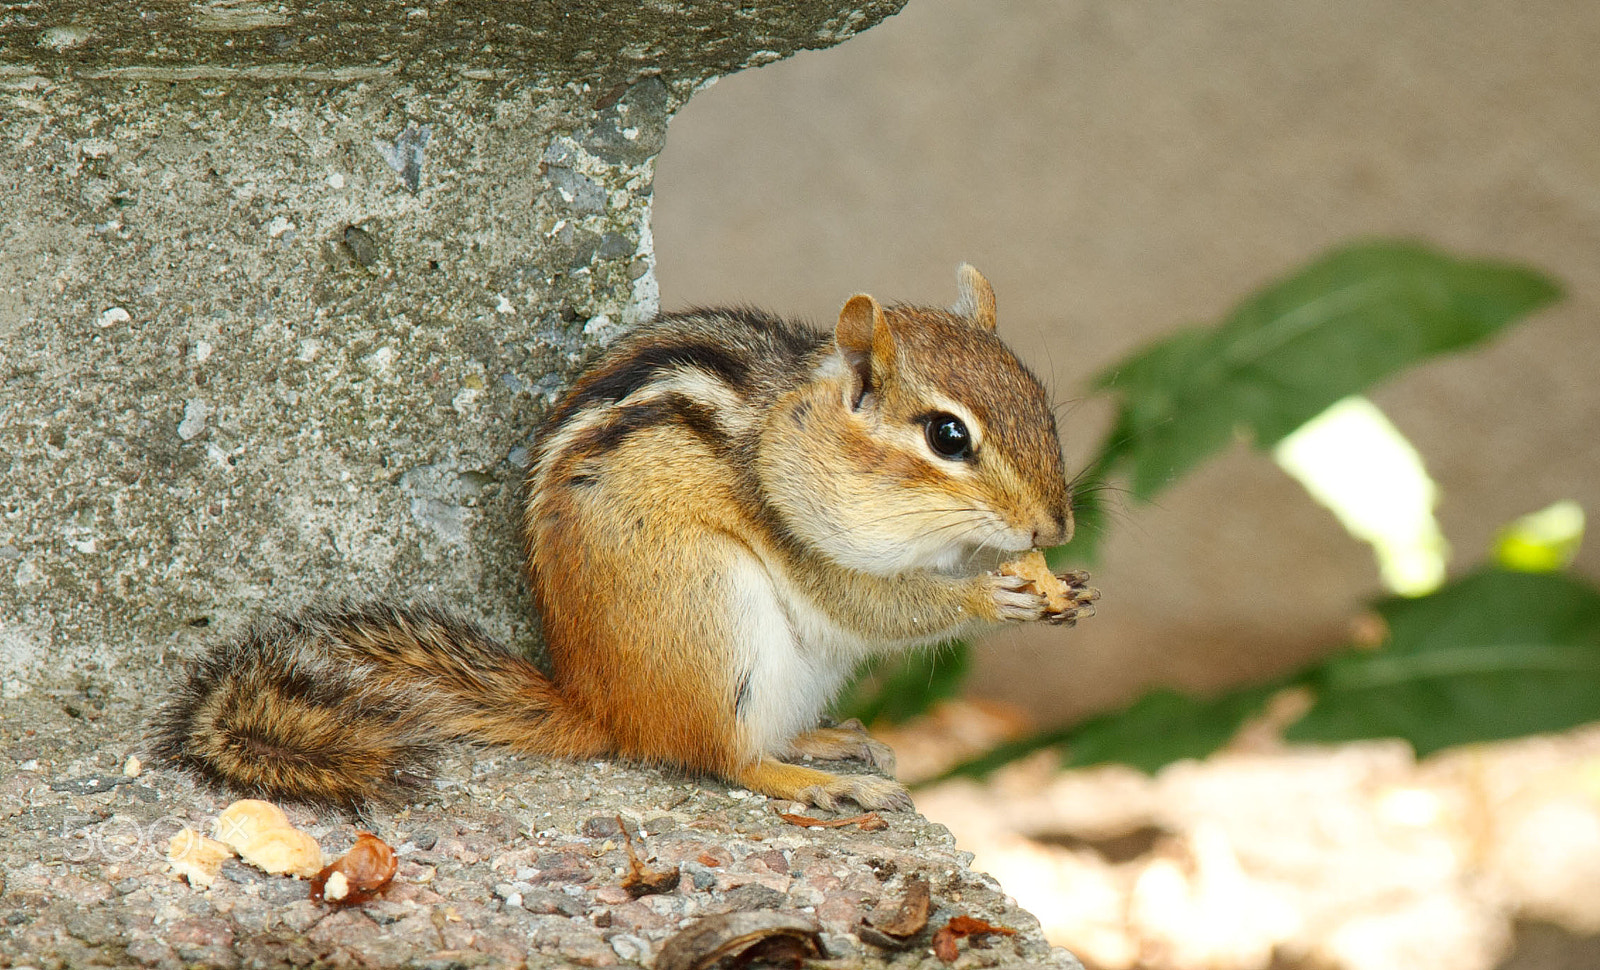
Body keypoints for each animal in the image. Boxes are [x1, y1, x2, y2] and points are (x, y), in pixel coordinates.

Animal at [152, 266, 1098, 813]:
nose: (1056, 526)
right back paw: (811, 781)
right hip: (713, 612)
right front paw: (994, 592)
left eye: (1039, 402)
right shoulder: (795, 527)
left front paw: (1063, 586)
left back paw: (824, 742)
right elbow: (872, 604)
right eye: (947, 436)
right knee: (718, 753)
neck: (793, 433)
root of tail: (599, 704)